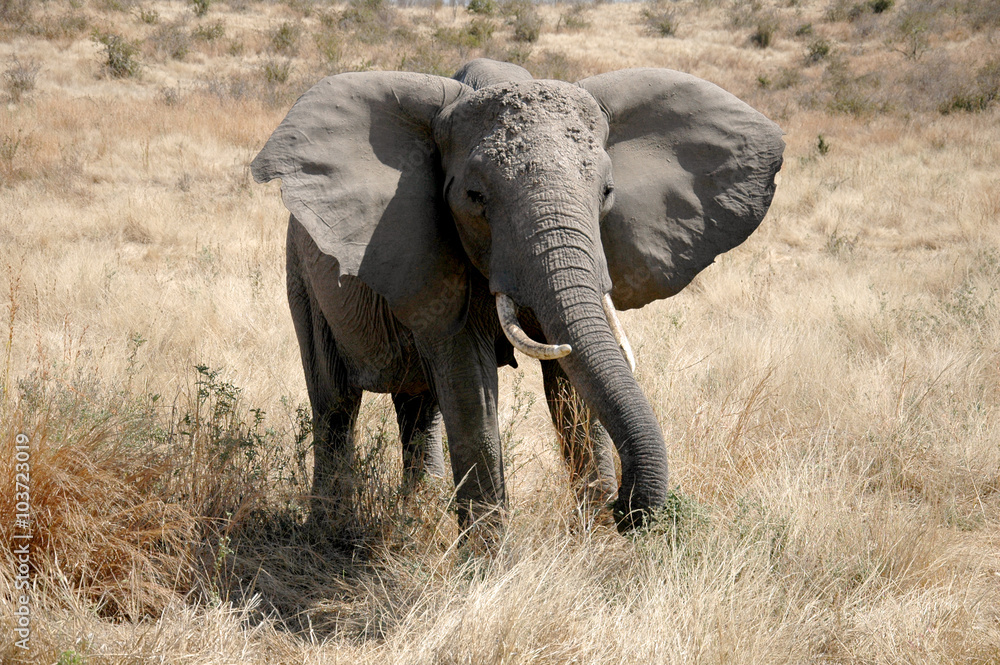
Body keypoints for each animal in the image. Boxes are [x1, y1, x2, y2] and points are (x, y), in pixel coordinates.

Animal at [251, 58, 784, 534]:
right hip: (300, 274)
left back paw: (416, 518)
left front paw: (594, 541)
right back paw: (331, 531)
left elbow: (571, 388)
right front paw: (487, 567)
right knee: (335, 402)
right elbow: (471, 387)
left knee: (419, 408)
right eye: (474, 198)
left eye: (607, 192)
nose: (626, 509)